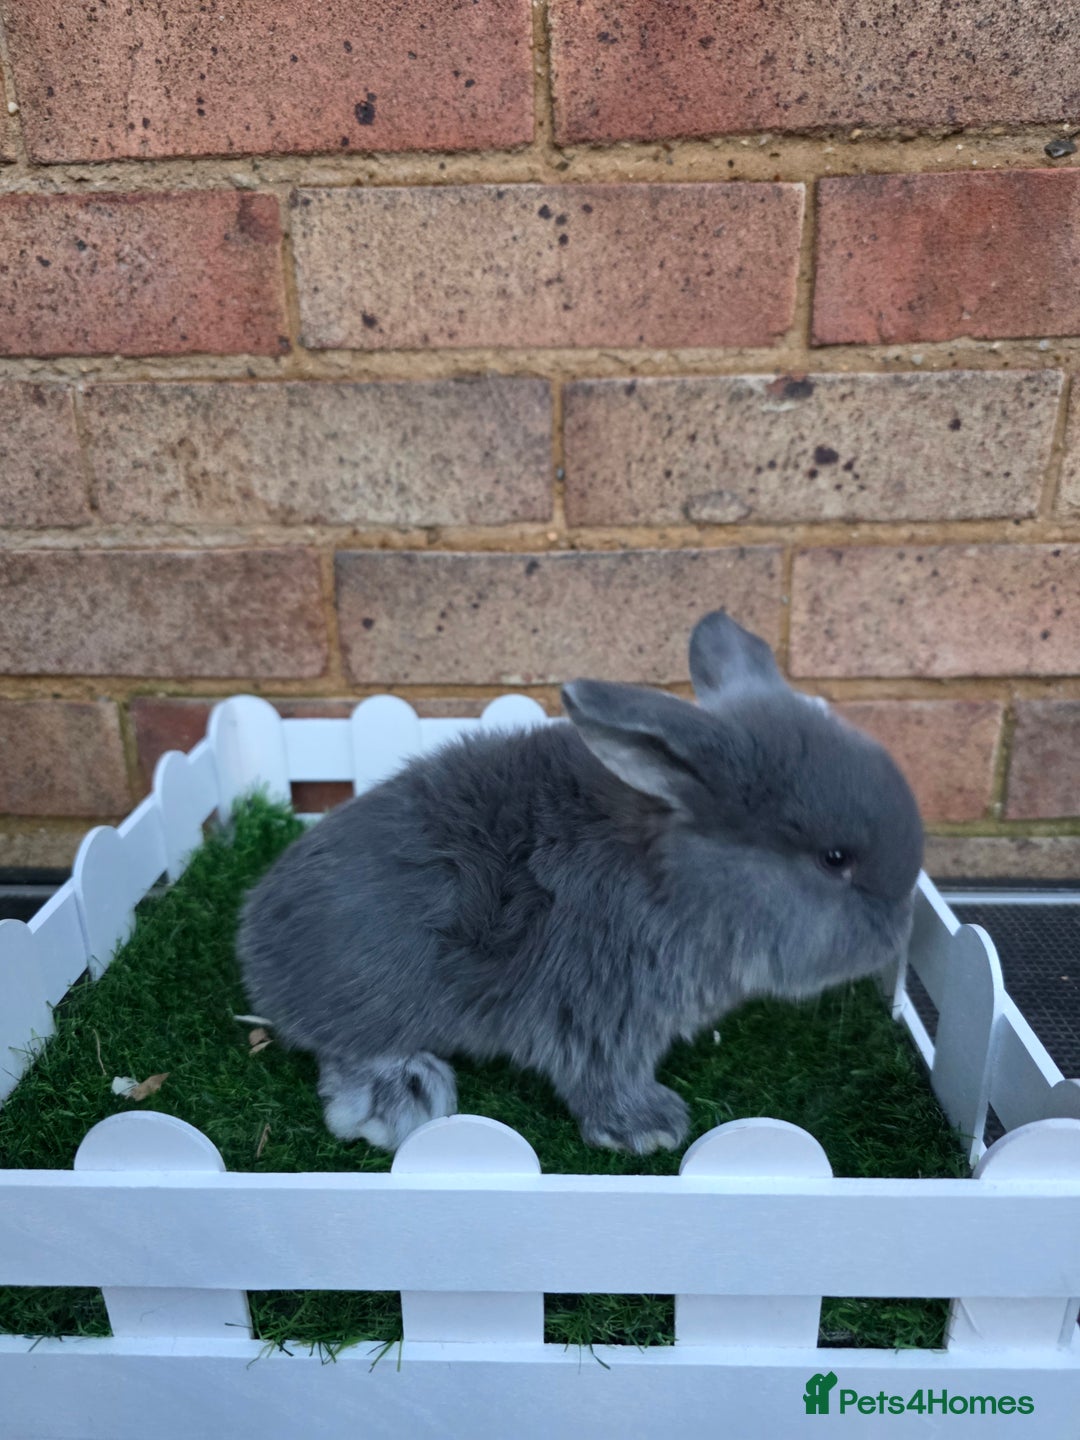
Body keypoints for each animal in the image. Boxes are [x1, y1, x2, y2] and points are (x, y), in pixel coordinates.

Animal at [237, 611, 924, 1156]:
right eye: (834, 859)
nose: (900, 931)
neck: (673, 877)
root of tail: (253, 935)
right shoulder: (604, 1013)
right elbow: (605, 1078)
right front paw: (651, 1128)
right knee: (342, 1045)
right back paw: (397, 1096)